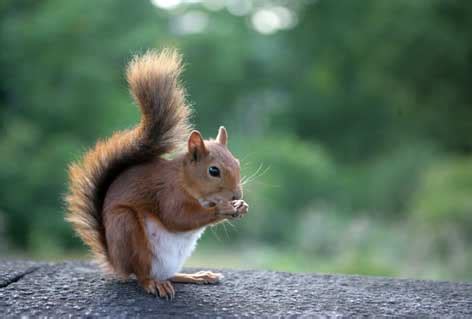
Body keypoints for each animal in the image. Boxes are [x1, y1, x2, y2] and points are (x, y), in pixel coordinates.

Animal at [68, 49, 249, 300]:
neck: (185, 180)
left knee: (170, 275)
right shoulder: (167, 193)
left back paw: (196, 276)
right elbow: (177, 217)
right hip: (127, 229)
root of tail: (116, 262)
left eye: (237, 162)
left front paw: (240, 207)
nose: (236, 195)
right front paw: (223, 209)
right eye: (214, 171)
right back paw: (154, 284)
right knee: (142, 275)